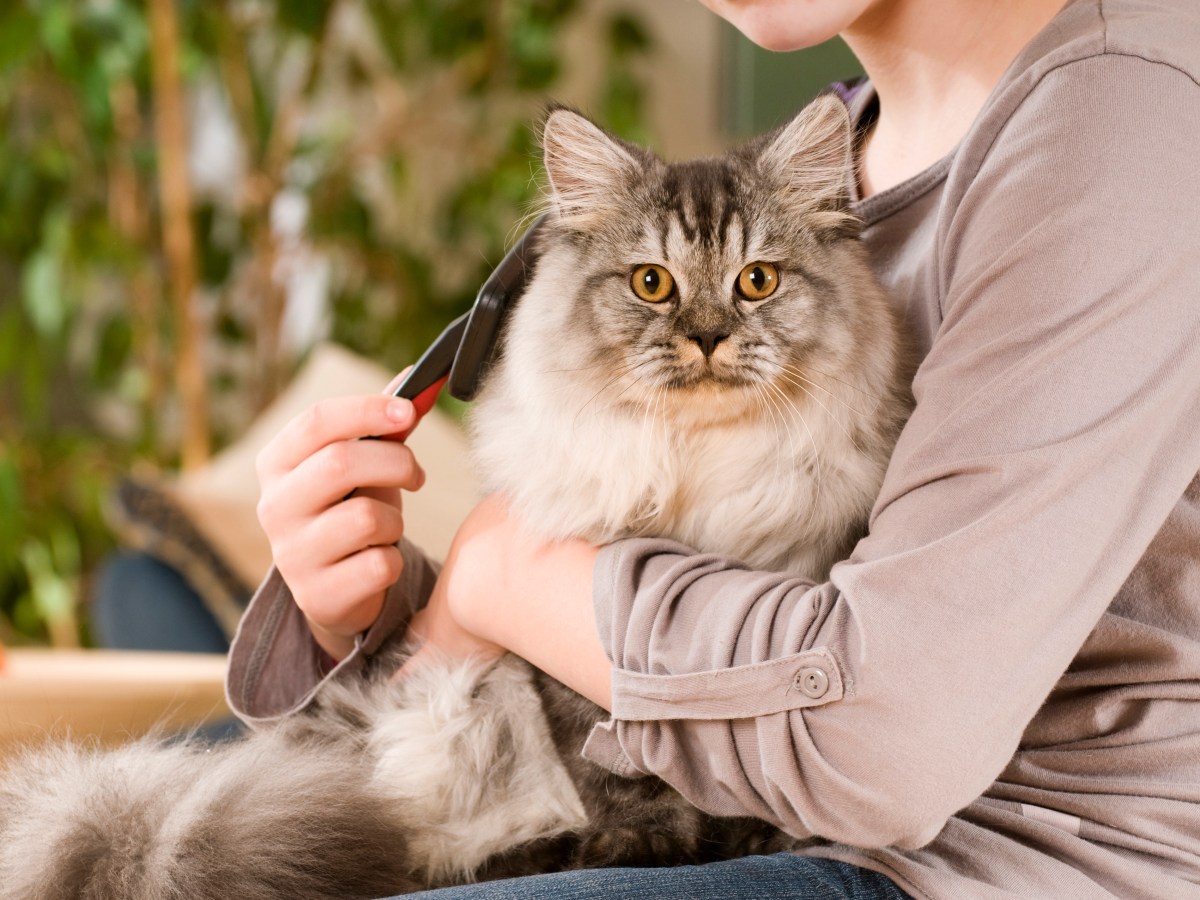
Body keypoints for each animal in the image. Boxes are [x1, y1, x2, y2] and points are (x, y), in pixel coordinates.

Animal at [0, 93, 907, 900]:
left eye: (757, 281)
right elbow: (623, 773)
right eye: (652, 283)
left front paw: (758, 836)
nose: (710, 336)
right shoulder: (564, 670)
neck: (698, 466)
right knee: (428, 854)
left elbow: (743, 774)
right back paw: (541, 852)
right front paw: (651, 841)